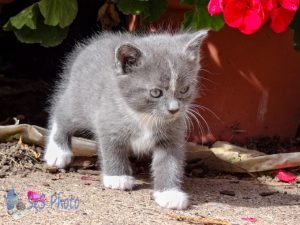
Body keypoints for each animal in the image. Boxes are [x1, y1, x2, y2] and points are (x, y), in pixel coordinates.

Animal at [44, 29, 207, 209]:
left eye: (184, 90)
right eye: (155, 93)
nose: (174, 109)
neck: (145, 117)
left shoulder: (171, 136)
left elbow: (169, 162)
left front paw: (169, 193)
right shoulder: (108, 120)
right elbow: (112, 149)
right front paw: (117, 177)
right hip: (79, 103)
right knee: (61, 112)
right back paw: (57, 152)